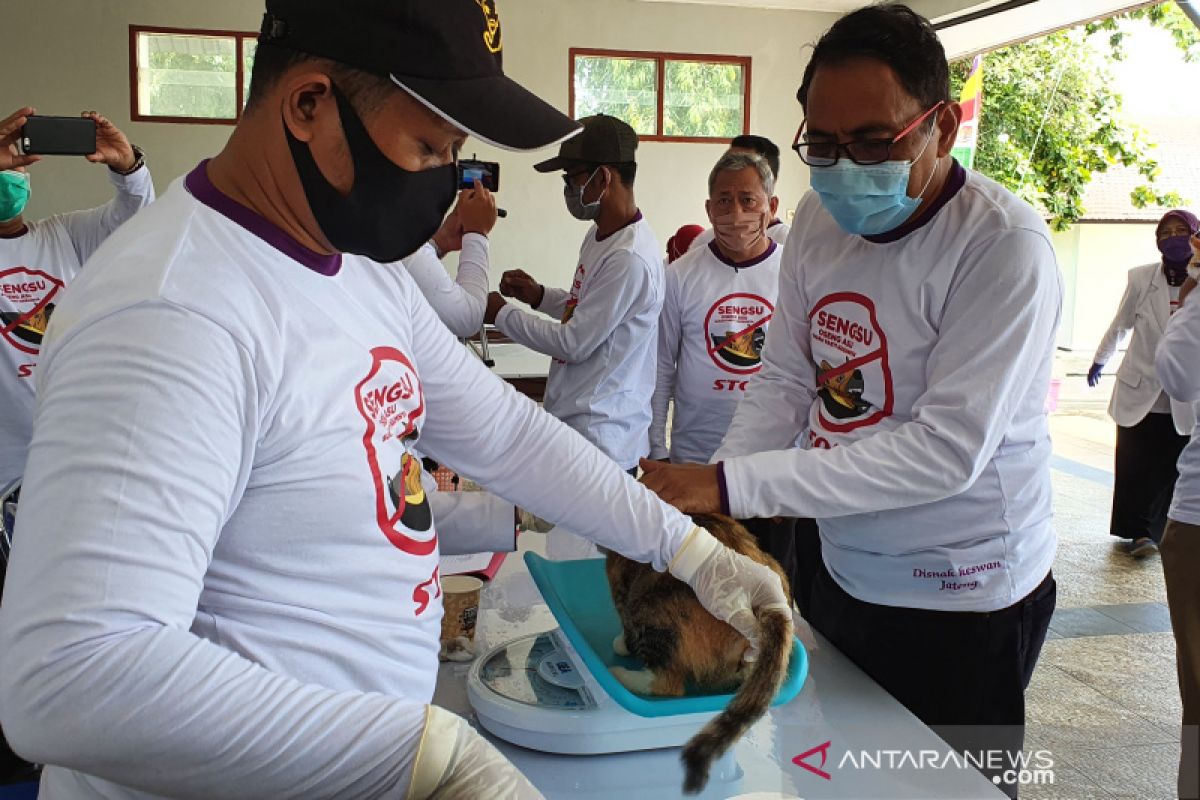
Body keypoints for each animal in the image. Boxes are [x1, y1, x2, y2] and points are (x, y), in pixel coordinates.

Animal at [604, 513, 792, 796]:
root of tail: (770, 609)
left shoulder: (622, 590)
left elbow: (624, 630)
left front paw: (621, 645)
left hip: (649, 608)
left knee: (668, 683)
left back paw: (621, 674)